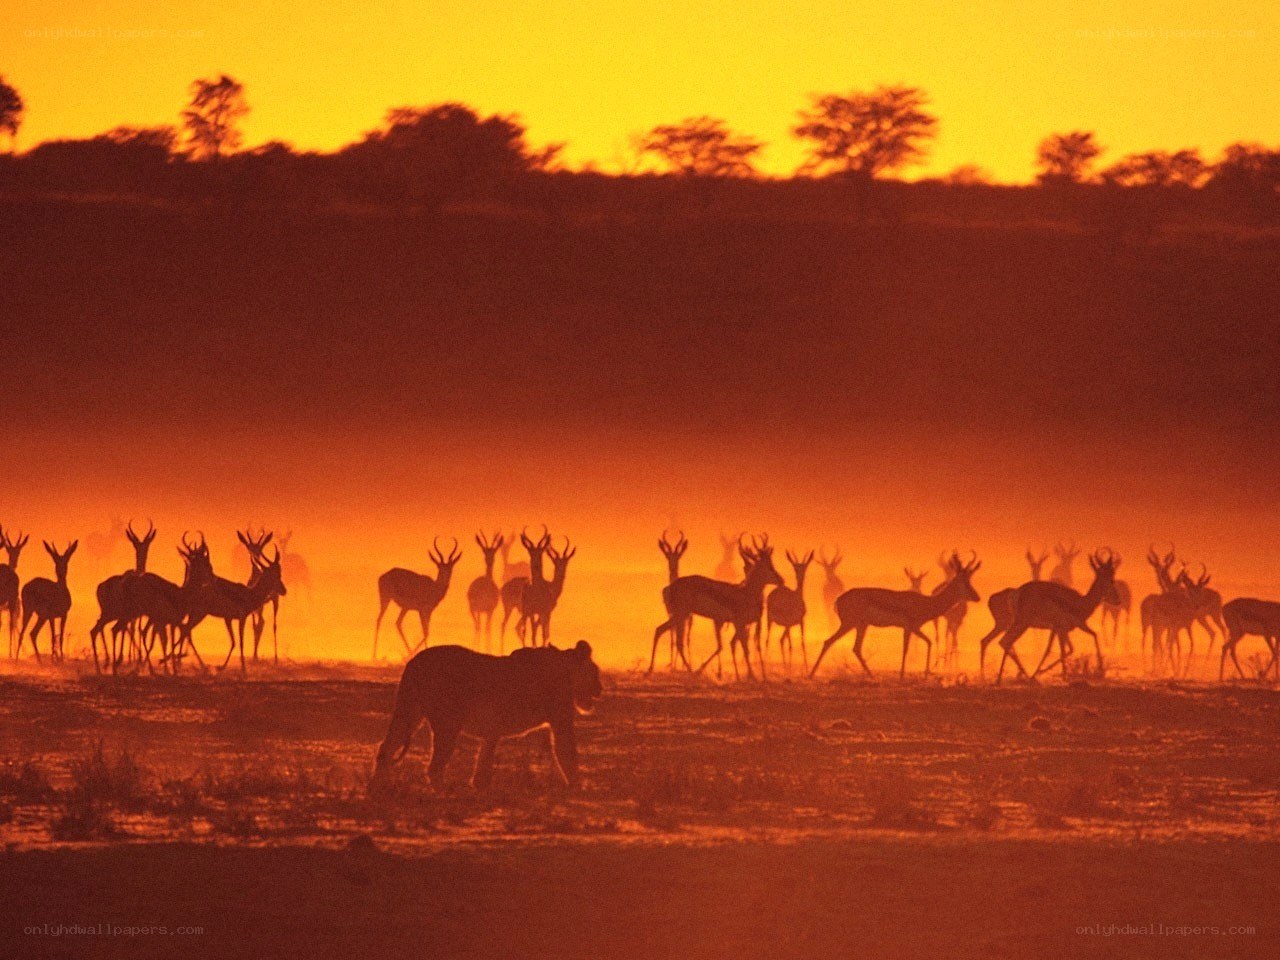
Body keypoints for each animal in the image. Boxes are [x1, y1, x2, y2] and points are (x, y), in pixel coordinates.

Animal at [89, 520, 156, 673]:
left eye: (147, 545)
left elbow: (133, 629)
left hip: (109, 613)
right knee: (104, 628)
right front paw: (135, 658)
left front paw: (133, 658)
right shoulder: (132, 614)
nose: (143, 556)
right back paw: (110, 662)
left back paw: (105, 663)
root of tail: (100, 586)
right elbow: (132, 629)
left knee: (99, 627)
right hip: (112, 613)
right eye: (136, 545)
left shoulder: (134, 615)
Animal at [372, 640, 602, 790]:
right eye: (596, 672)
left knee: (386, 749)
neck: (565, 667)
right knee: (434, 767)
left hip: (407, 712)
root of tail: (414, 663)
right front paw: (577, 786)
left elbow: (484, 758)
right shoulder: (560, 716)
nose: (600, 689)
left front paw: (480, 786)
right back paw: (445, 792)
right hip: (447, 724)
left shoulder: (492, 729)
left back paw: (378, 788)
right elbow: (567, 752)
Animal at [653, 535, 783, 681]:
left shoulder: (730, 623)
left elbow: (731, 646)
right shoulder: (737, 623)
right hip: (681, 615)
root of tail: (670, 587)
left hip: (680, 616)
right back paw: (689, 671)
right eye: (769, 566)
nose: (781, 580)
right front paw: (752, 676)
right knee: (671, 637)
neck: (745, 593)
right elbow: (743, 648)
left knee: (663, 632)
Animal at [811, 552, 981, 679]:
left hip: (861, 625)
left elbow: (928, 642)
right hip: (850, 624)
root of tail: (839, 599)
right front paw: (902, 675)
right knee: (830, 642)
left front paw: (925, 674)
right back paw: (811, 674)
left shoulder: (914, 628)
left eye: (970, 580)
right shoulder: (909, 627)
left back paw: (871, 675)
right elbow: (906, 649)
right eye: (964, 582)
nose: (977, 597)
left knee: (855, 648)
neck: (927, 602)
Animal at [989, 549, 1120, 684]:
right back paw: (1004, 679)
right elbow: (1062, 649)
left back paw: (1005, 678)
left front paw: (1041, 673)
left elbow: (1063, 648)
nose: (1117, 600)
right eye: (1111, 580)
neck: (1081, 602)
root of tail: (1016, 593)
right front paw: (1063, 676)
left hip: (1018, 624)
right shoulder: (1066, 627)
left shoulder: (1060, 629)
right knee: (1007, 641)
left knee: (1004, 641)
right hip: (1022, 624)